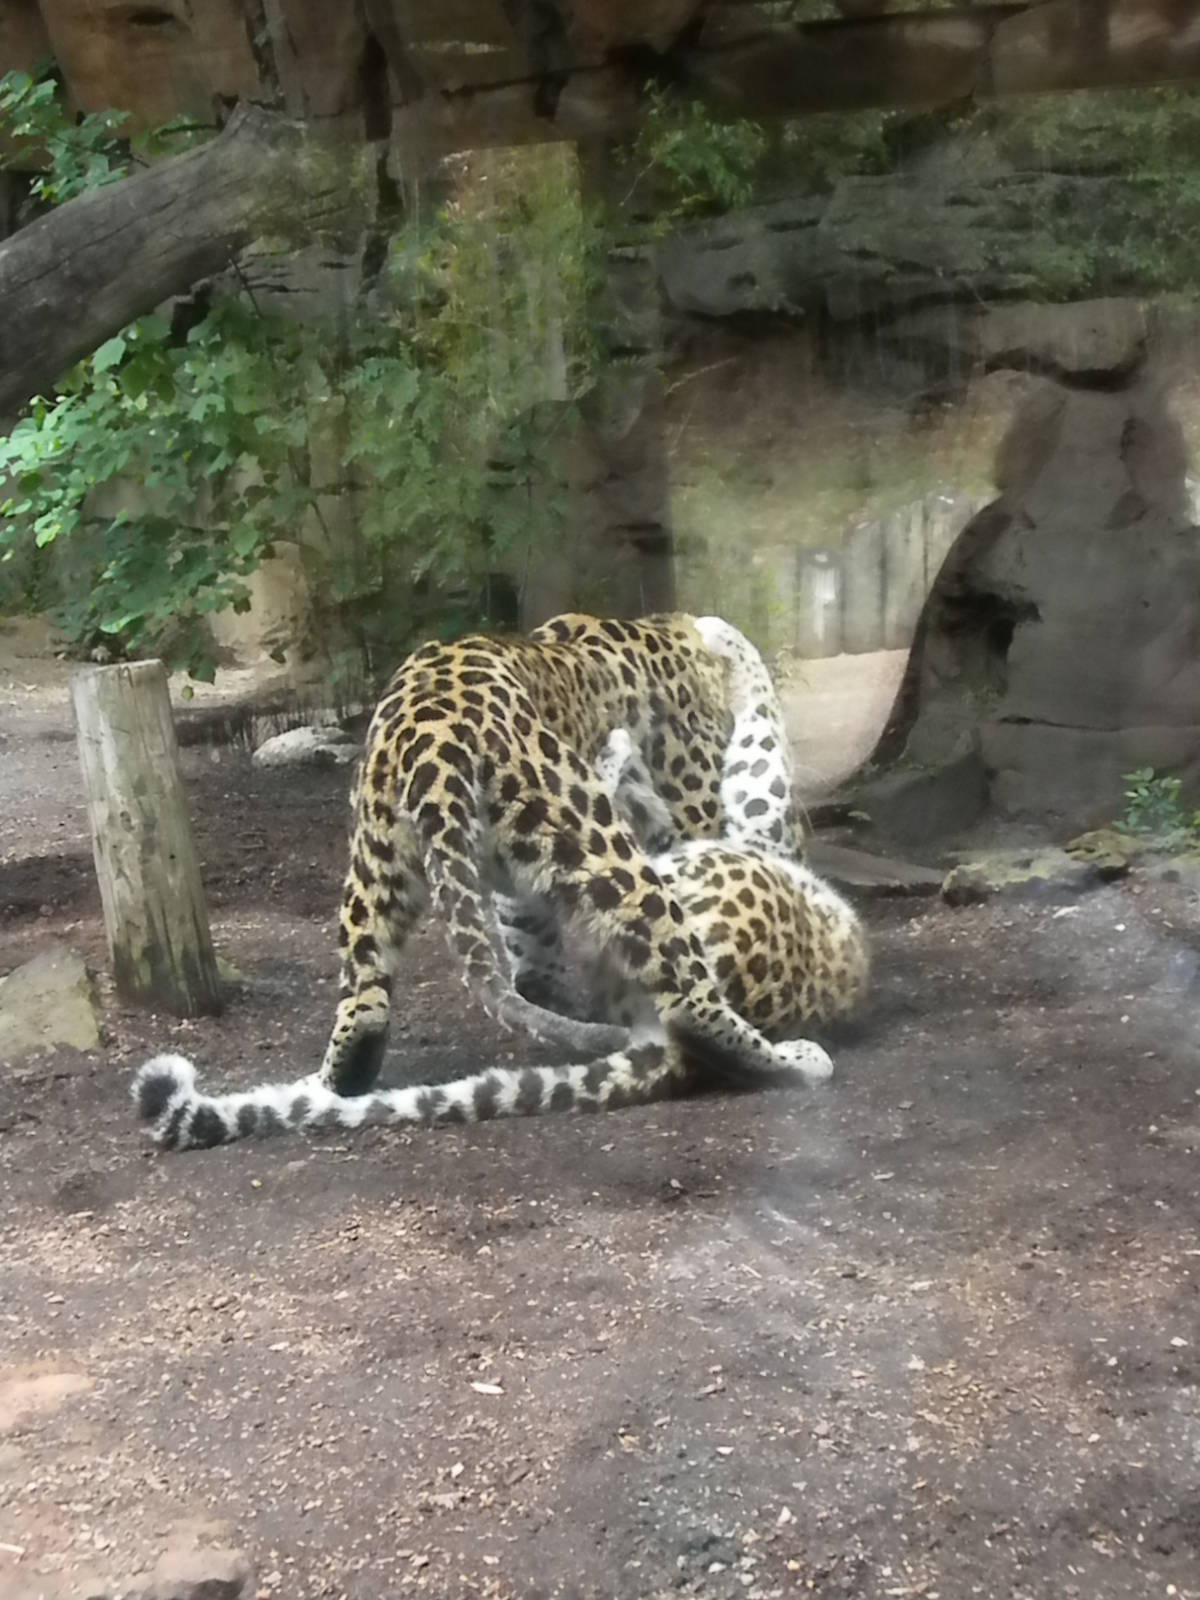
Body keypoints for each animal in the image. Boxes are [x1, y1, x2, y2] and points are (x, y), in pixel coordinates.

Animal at [133, 614, 868, 1149]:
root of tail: (430, 739)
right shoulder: (701, 804)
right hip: (597, 837)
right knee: (688, 998)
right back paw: (796, 1059)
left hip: (375, 863)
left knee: (365, 1002)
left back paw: (337, 1083)